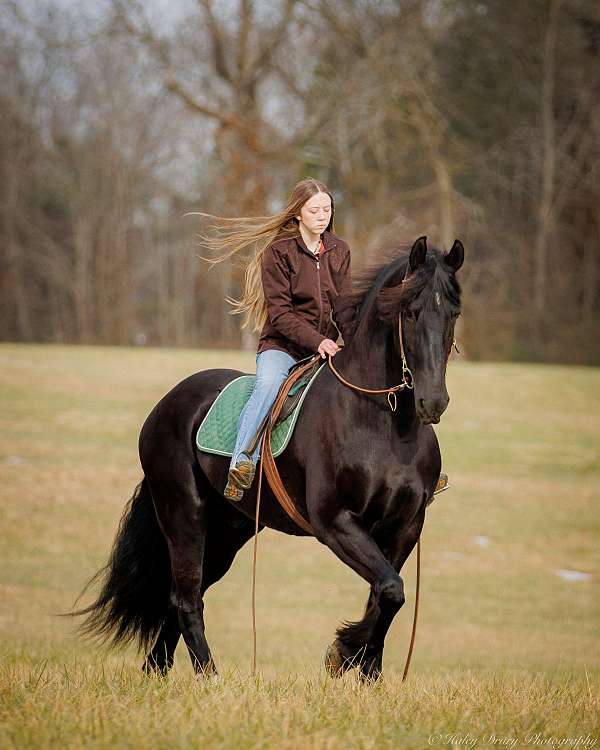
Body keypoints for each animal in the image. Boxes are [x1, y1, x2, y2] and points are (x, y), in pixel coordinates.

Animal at [75, 235, 466, 680]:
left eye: (453, 312)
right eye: (410, 311)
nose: (433, 402)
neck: (382, 423)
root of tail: (165, 406)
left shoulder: (405, 526)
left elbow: (385, 596)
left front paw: (368, 675)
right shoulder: (335, 523)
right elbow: (390, 590)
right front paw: (341, 652)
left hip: (228, 531)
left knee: (181, 595)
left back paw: (157, 671)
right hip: (184, 516)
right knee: (186, 598)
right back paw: (210, 678)